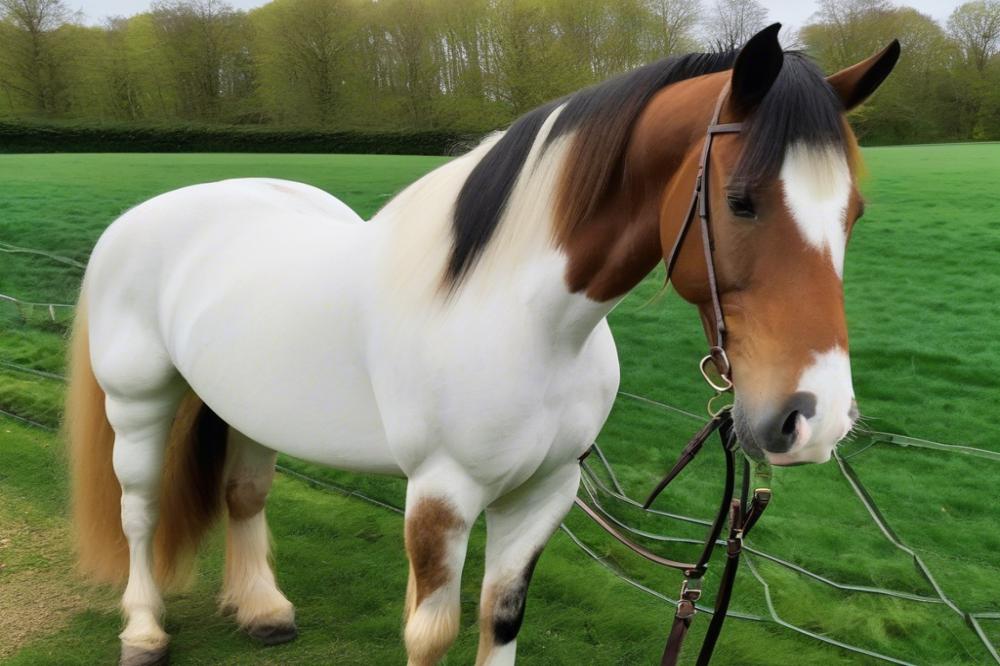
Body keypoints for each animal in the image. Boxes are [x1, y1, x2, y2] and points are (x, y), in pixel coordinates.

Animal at [66, 24, 904, 664]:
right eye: (741, 201)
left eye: (855, 212)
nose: (815, 418)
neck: (520, 317)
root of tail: (145, 217)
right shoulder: (442, 499)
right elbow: (430, 634)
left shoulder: (543, 493)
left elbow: (500, 618)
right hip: (138, 403)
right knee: (139, 508)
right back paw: (142, 630)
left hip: (245, 407)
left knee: (243, 494)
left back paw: (263, 609)